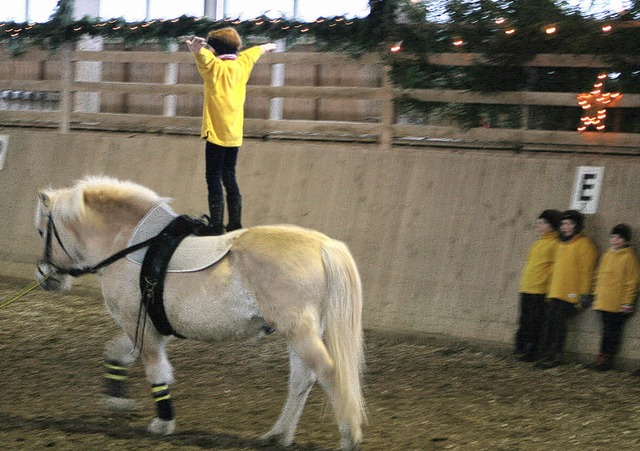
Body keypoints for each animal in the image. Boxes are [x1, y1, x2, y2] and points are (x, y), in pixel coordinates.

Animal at [35, 175, 364, 450]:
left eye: (42, 232)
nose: (45, 276)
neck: (127, 245)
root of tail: (323, 245)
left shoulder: (138, 325)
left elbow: (156, 370)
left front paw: (163, 423)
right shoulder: (146, 326)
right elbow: (116, 352)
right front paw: (116, 402)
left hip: (298, 331)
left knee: (328, 373)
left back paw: (348, 436)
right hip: (298, 333)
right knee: (301, 380)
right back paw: (278, 435)